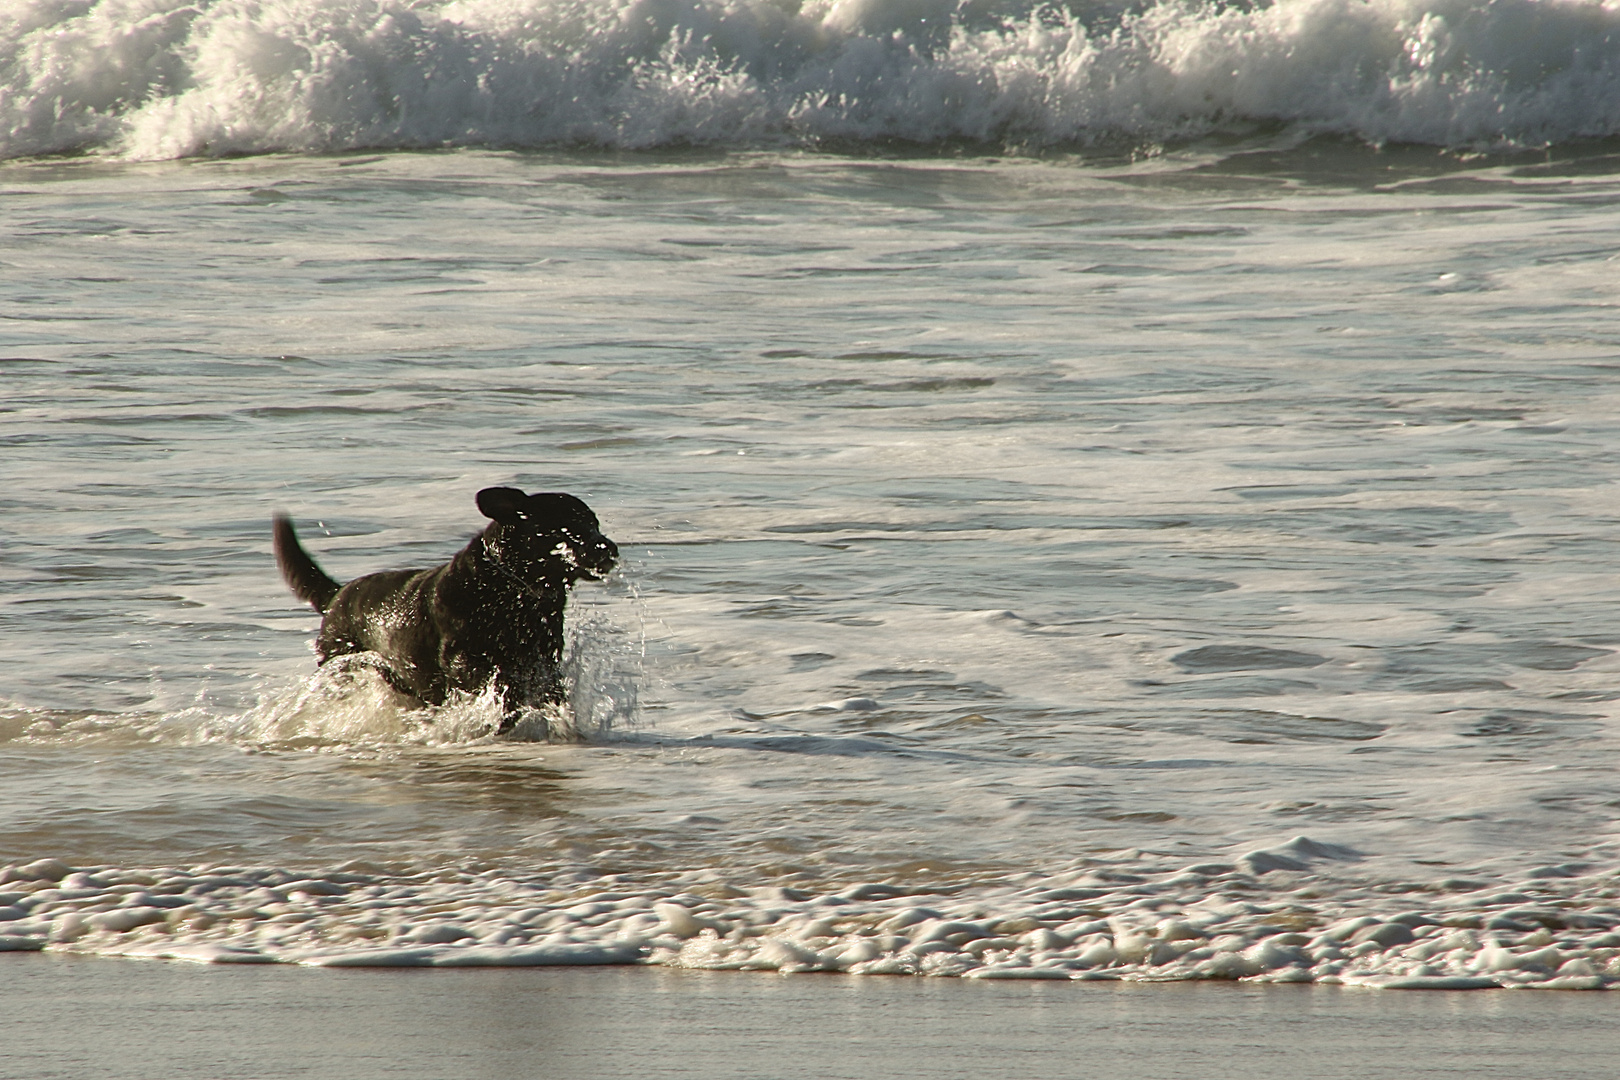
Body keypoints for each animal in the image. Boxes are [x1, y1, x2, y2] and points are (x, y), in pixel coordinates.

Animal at [272, 488, 612, 735]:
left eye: (594, 524)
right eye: (566, 527)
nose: (609, 547)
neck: (509, 589)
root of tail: (337, 595)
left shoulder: (543, 661)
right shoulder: (463, 659)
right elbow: (499, 684)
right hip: (341, 667)